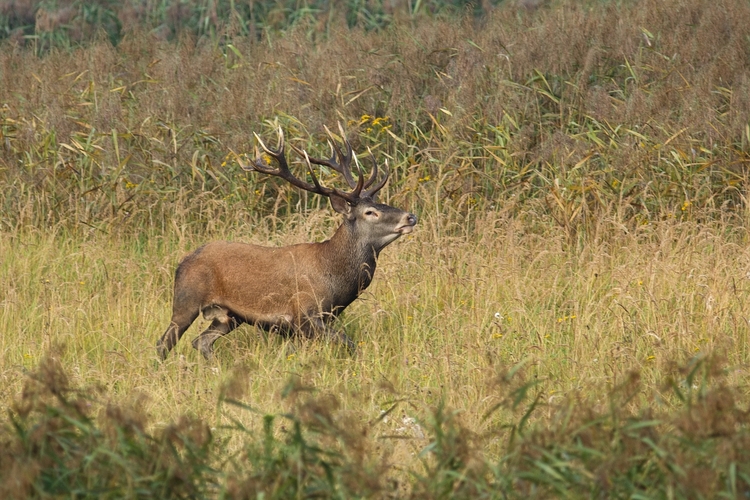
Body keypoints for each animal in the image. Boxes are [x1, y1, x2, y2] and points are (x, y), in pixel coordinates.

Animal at [156, 125, 420, 360]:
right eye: (370, 212)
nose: (410, 216)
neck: (333, 274)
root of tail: (182, 262)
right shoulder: (303, 314)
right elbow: (348, 342)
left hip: (228, 318)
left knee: (200, 342)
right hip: (186, 300)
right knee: (164, 343)